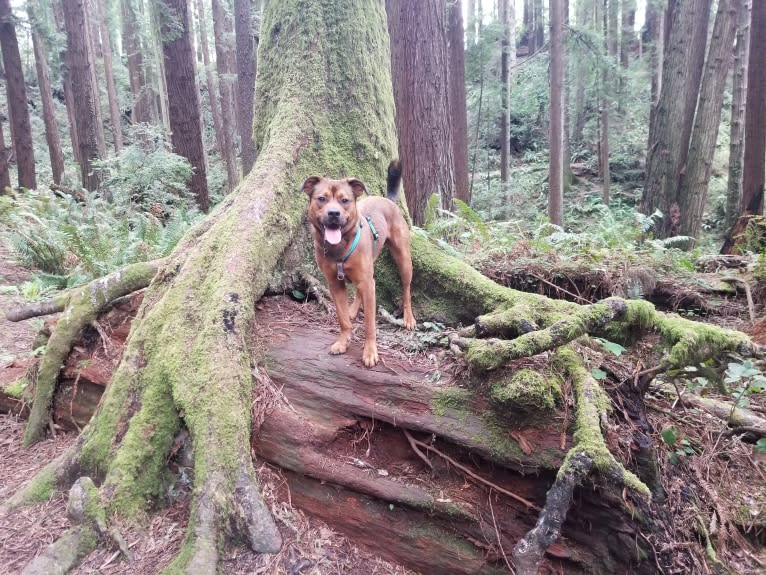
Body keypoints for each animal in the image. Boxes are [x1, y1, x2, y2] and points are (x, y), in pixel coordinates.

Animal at [304, 160, 416, 366]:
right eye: (322, 199)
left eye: (345, 200)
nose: (334, 213)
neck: (340, 246)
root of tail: (387, 200)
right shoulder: (334, 284)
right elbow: (342, 319)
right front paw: (343, 341)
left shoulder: (368, 284)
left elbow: (369, 324)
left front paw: (370, 352)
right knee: (358, 290)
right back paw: (353, 309)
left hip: (403, 260)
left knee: (406, 289)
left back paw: (409, 318)